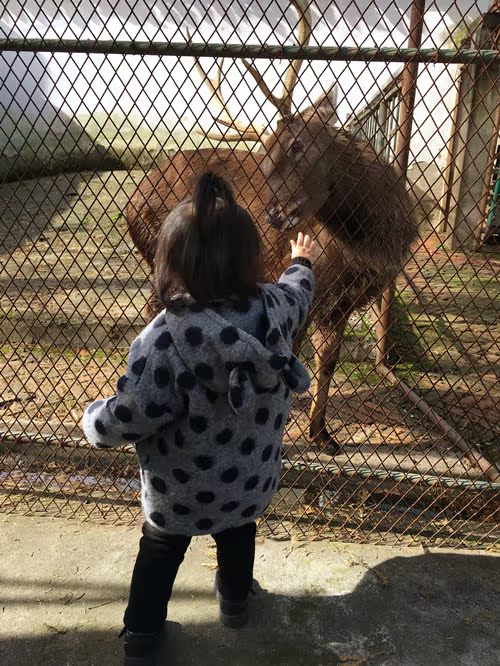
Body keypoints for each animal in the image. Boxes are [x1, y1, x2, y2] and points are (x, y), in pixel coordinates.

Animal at [125, 1, 418, 452]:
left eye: (298, 146)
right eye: (265, 158)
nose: (274, 214)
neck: (371, 244)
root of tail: (132, 199)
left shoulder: (344, 300)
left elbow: (328, 361)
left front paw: (323, 436)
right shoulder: (313, 285)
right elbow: (293, 357)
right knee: (156, 311)